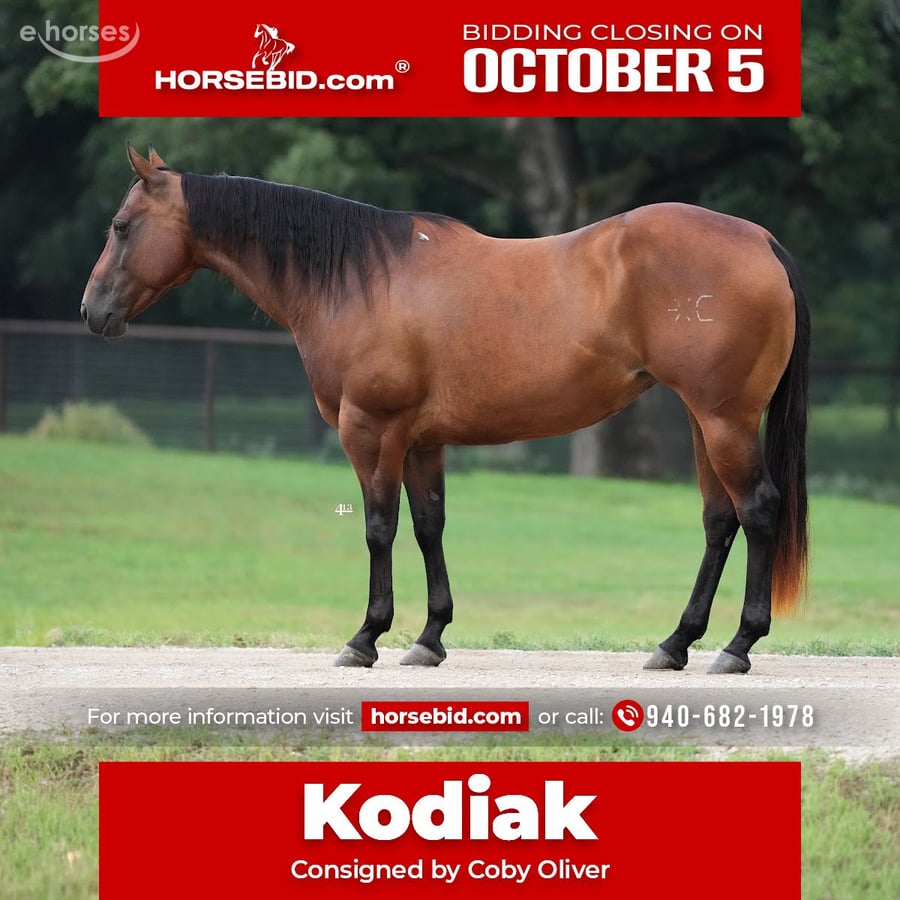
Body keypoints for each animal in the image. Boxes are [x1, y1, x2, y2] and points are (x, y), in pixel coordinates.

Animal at [81, 145, 809, 674]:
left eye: (121, 227)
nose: (92, 311)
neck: (360, 279)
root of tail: (764, 242)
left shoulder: (371, 431)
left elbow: (379, 528)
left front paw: (366, 637)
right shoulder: (421, 440)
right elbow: (429, 526)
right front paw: (429, 638)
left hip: (724, 421)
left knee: (758, 510)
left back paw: (736, 647)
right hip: (704, 421)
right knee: (720, 521)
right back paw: (675, 643)